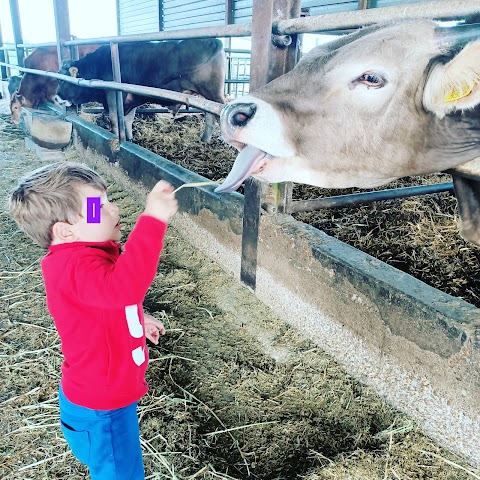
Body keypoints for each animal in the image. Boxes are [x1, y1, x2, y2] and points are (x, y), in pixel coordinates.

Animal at [57, 38, 226, 142]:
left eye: (61, 80)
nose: (57, 98)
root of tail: (214, 40)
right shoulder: (130, 99)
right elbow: (127, 119)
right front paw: (130, 139)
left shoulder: (113, 94)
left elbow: (114, 119)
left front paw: (118, 138)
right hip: (204, 96)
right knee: (210, 116)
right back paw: (204, 140)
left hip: (213, 93)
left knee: (219, 114)